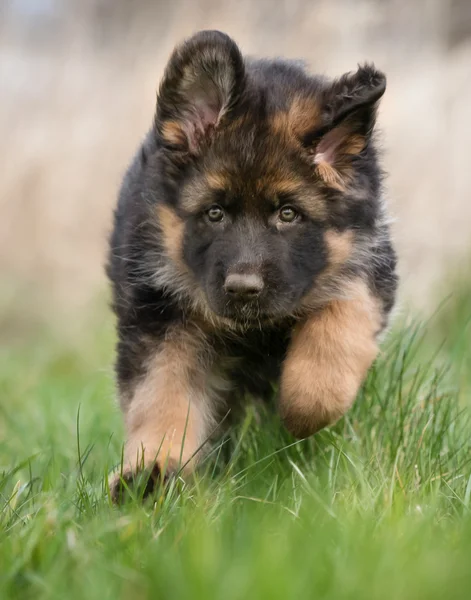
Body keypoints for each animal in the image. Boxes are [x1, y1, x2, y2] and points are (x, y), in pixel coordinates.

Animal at [107, 30, 398, 500]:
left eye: (288, 214)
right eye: (214, 213)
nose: (243, 289)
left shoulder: (363, 260)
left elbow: (339, 329)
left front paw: (302, 410)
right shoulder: (160, 311)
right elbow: (161, 391)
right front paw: (151, 471)